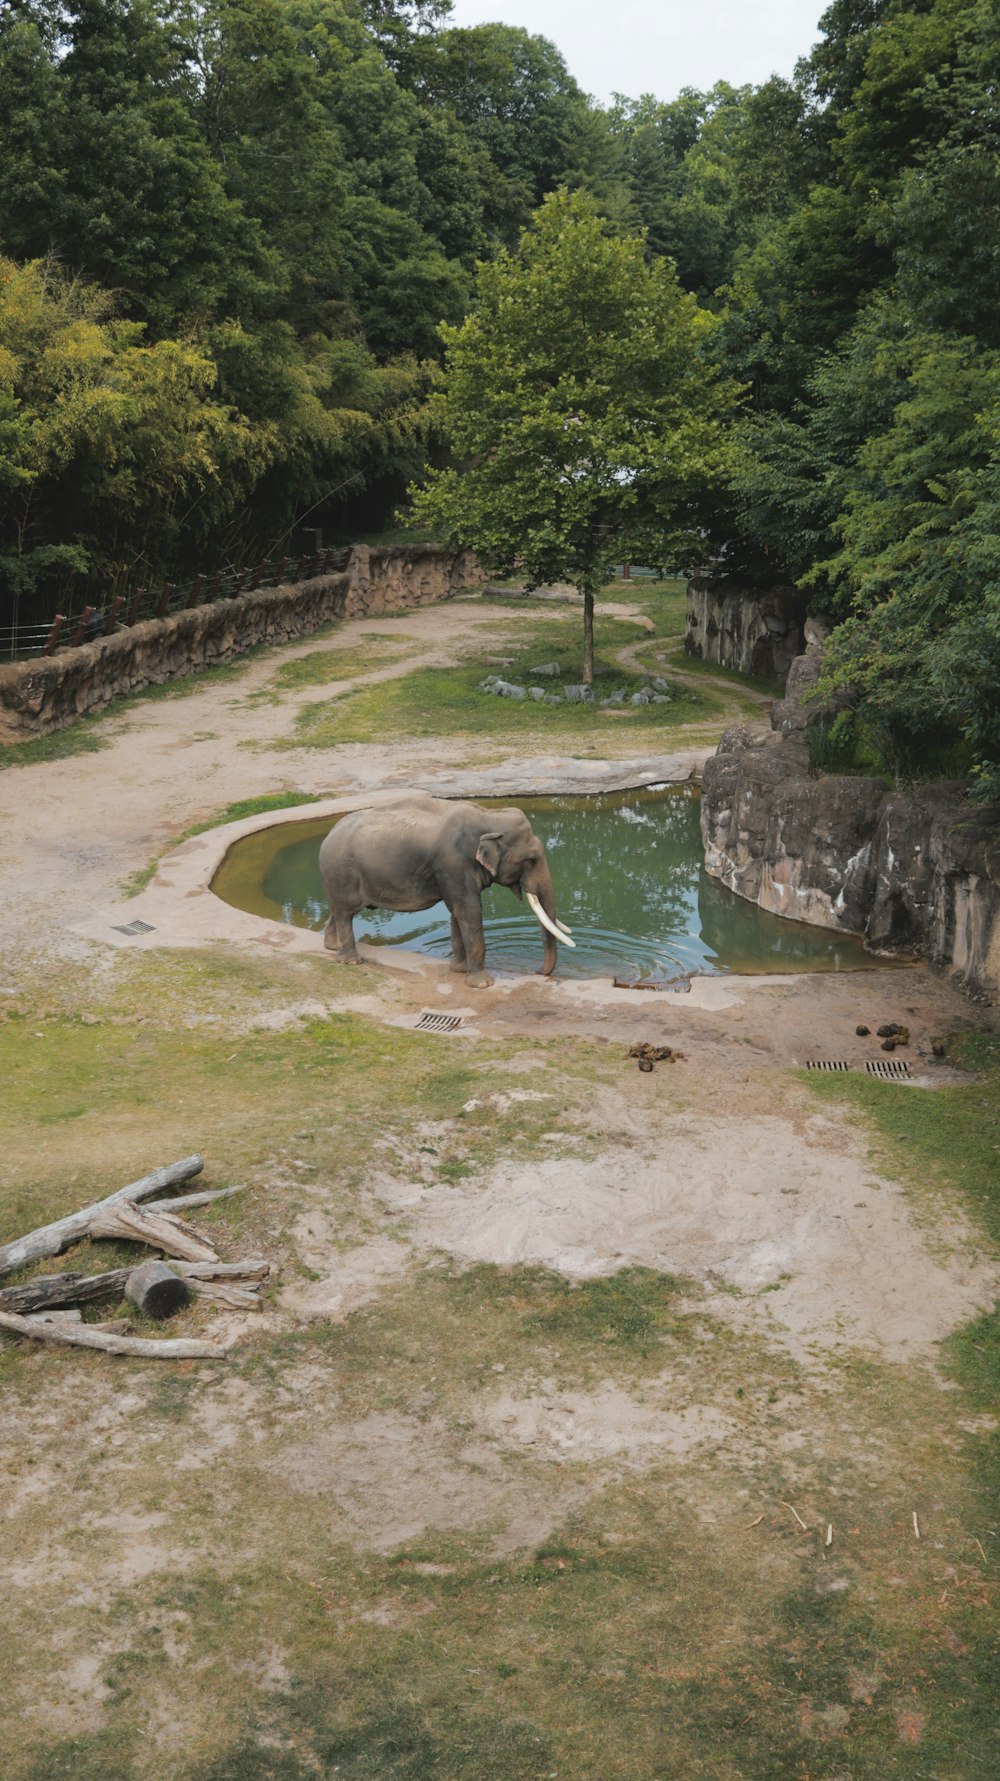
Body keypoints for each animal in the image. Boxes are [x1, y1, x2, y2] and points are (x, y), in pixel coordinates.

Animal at [319, 794, 570, 990]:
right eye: (531, 859)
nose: (535, 972)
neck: (489, 816)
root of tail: (328, 835)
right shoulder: (454, 864)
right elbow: (469, 910)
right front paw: (482, 984)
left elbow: (457, 913)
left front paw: (459, 970)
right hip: (342, 872)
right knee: (346, 912)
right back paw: (350, 961)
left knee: (338, 910)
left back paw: (332, 946)